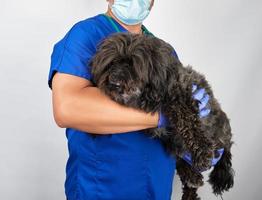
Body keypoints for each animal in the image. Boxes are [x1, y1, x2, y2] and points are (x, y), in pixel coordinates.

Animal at [89, 32, 234, 200]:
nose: (113, 81)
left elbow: (189, 122)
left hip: (222, 129)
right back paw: (192, 178)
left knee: (226, 151)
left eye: (132, 64)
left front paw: (203, 152)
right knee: (183, 165)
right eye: (112, 63)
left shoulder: (182, 95)